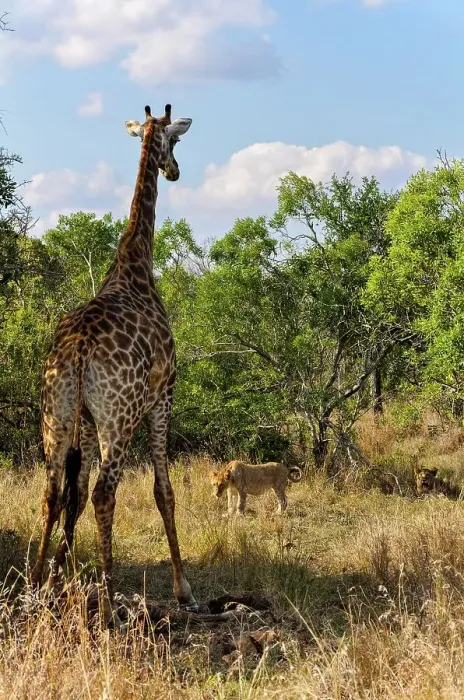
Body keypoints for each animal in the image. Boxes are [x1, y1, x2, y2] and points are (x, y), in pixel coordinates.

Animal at [31, 103, 199, 615]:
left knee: (53, 491)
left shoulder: (85, 419)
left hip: (57, 412)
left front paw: (56, 579)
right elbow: (164, 490)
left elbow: (74, 493)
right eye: (174, 141)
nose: (176, 171)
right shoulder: (164, 395)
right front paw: (184, 589)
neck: (135, 264)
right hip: (119, 416)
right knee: (106, 492)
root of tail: (82, 346)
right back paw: (107, 606)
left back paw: (34, 585)